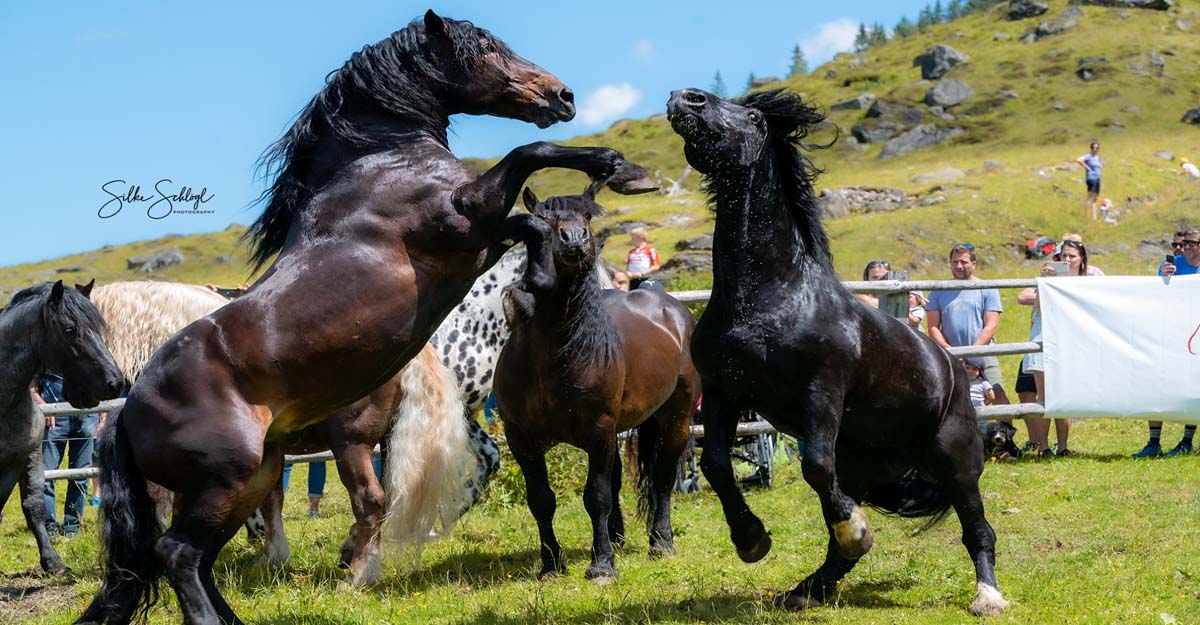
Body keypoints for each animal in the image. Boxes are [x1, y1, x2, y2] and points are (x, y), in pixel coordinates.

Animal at [79, 10, 657, 623]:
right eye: (482, 49)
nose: (563, 96)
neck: (379, 164)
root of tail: (129, 408)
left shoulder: (480, 235)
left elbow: (527, 220)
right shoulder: (466, 218)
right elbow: (529, 155)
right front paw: (602, 163)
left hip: (251, 479)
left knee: (202, 554)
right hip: (228, 481)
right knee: (178, 552)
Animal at [492, 187, 700, 583]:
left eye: (587, 217)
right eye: (542, 218)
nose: (573, 239)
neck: (552, 356)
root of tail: (673, 310)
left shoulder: (598, 432)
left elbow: (596, 496)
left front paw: (602, 564)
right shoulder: (522, 439)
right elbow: (541, 500)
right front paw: (551, 563)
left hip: (676, 420)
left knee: (663, 479)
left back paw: (660, 543)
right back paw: (618, 537)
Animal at [672, 88, 1008, 619]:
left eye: (752, 115)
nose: (687, 98)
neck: (771, 298)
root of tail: (954, 368)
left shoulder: (822, 389)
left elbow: (813, 465)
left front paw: (857, 529)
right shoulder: (724, 391)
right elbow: (717, 466)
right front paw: (751, 539)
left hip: (955, 460)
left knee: (978, 529)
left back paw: (987, 596)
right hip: (867, 467)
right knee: (839, 533)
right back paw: (805, 590)